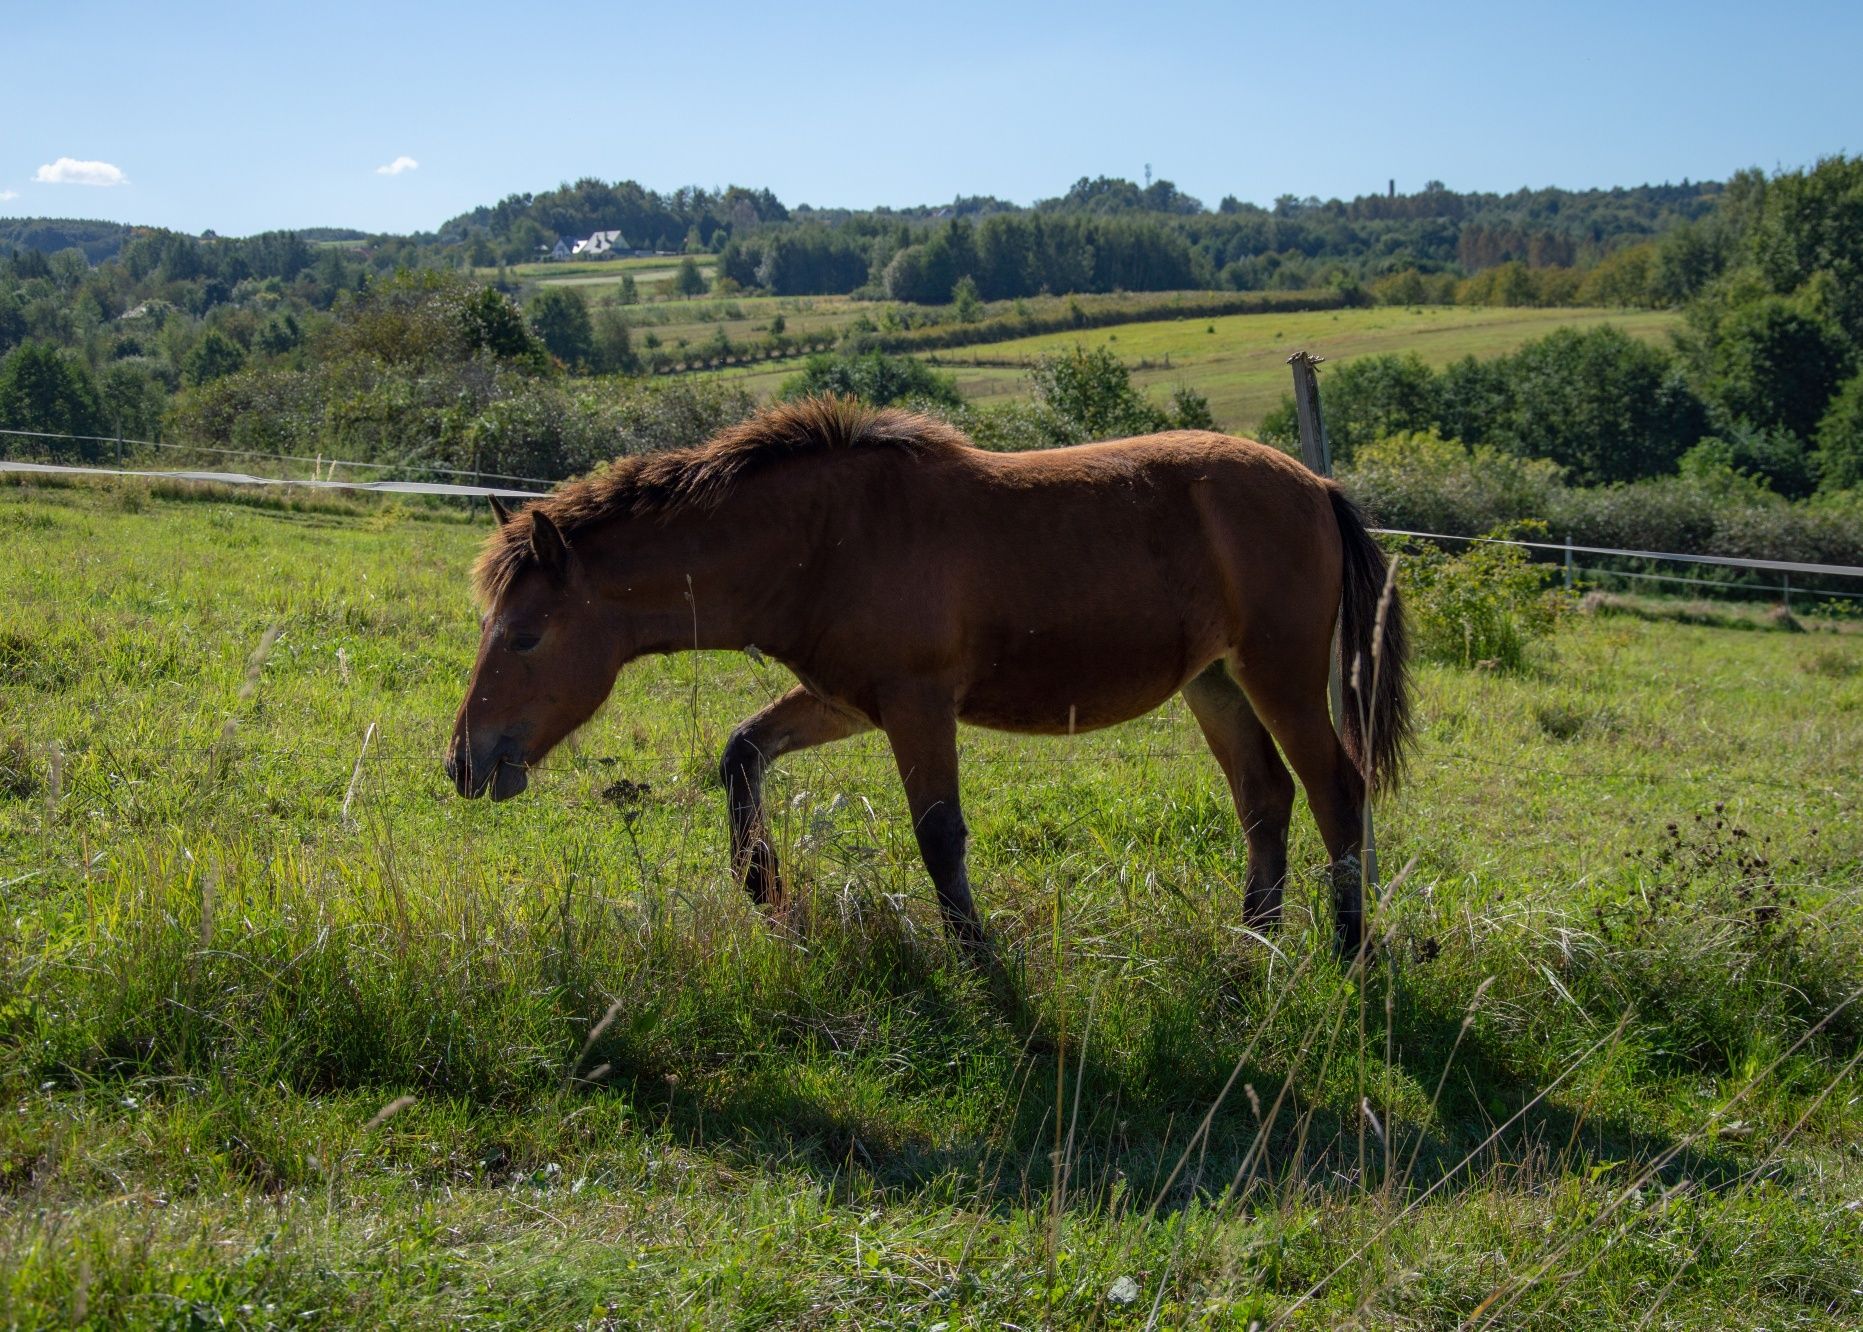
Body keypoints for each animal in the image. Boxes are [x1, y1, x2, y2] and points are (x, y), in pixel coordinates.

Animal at [447, 396, 1408, 961]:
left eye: (524, 636)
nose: (464, 761)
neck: (825, 538)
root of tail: (1314, 484)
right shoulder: (846, 700)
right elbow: (741, 753)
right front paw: (768, 893)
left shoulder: (917, 706)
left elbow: (939, 835)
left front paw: (979, 961)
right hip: (1214, 682)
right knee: (1264, 798)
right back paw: (1254, 945)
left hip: (1279, 676)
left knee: (1334, 788)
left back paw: (1345, 949)